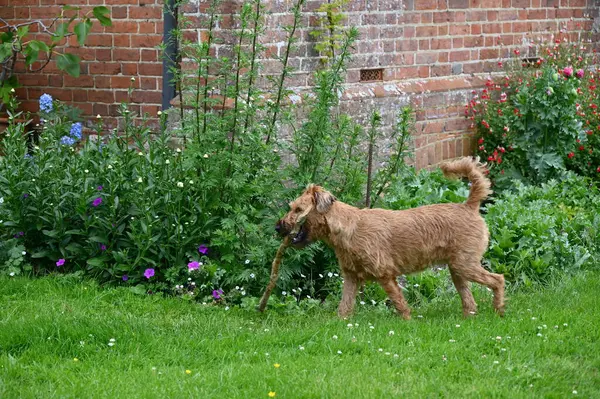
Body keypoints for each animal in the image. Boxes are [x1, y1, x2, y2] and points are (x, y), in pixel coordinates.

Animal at [278, 158, 506, 320]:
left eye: (297, 209)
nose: (277, 227)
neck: (348, 227)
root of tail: (469, 205)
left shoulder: (385, 275)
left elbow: (399, 302)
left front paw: (407, 321)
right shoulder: (351, 278)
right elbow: (345, 306)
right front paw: (340, 324)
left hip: (464, 265)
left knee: (498, 280)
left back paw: (499, 310)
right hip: (457, 269)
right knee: (470, 300)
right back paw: (469, 318)